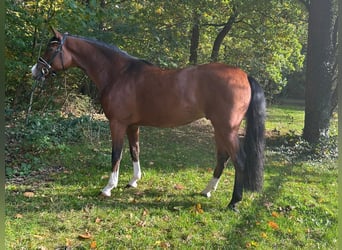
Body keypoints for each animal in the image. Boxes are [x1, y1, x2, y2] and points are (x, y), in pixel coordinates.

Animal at [31, 28, 268, 211]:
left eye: (51, 48)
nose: (35, 71)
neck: (118, 74)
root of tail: (244, 75)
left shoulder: (117, 123)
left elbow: (116, 154)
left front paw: (108, 188)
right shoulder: (132, 125)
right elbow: (134, 151)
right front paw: (133, 181)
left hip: (226, 128)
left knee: (239, 160)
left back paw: (234, 202)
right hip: (219, 128)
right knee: (222, 158)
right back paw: (207, 191)